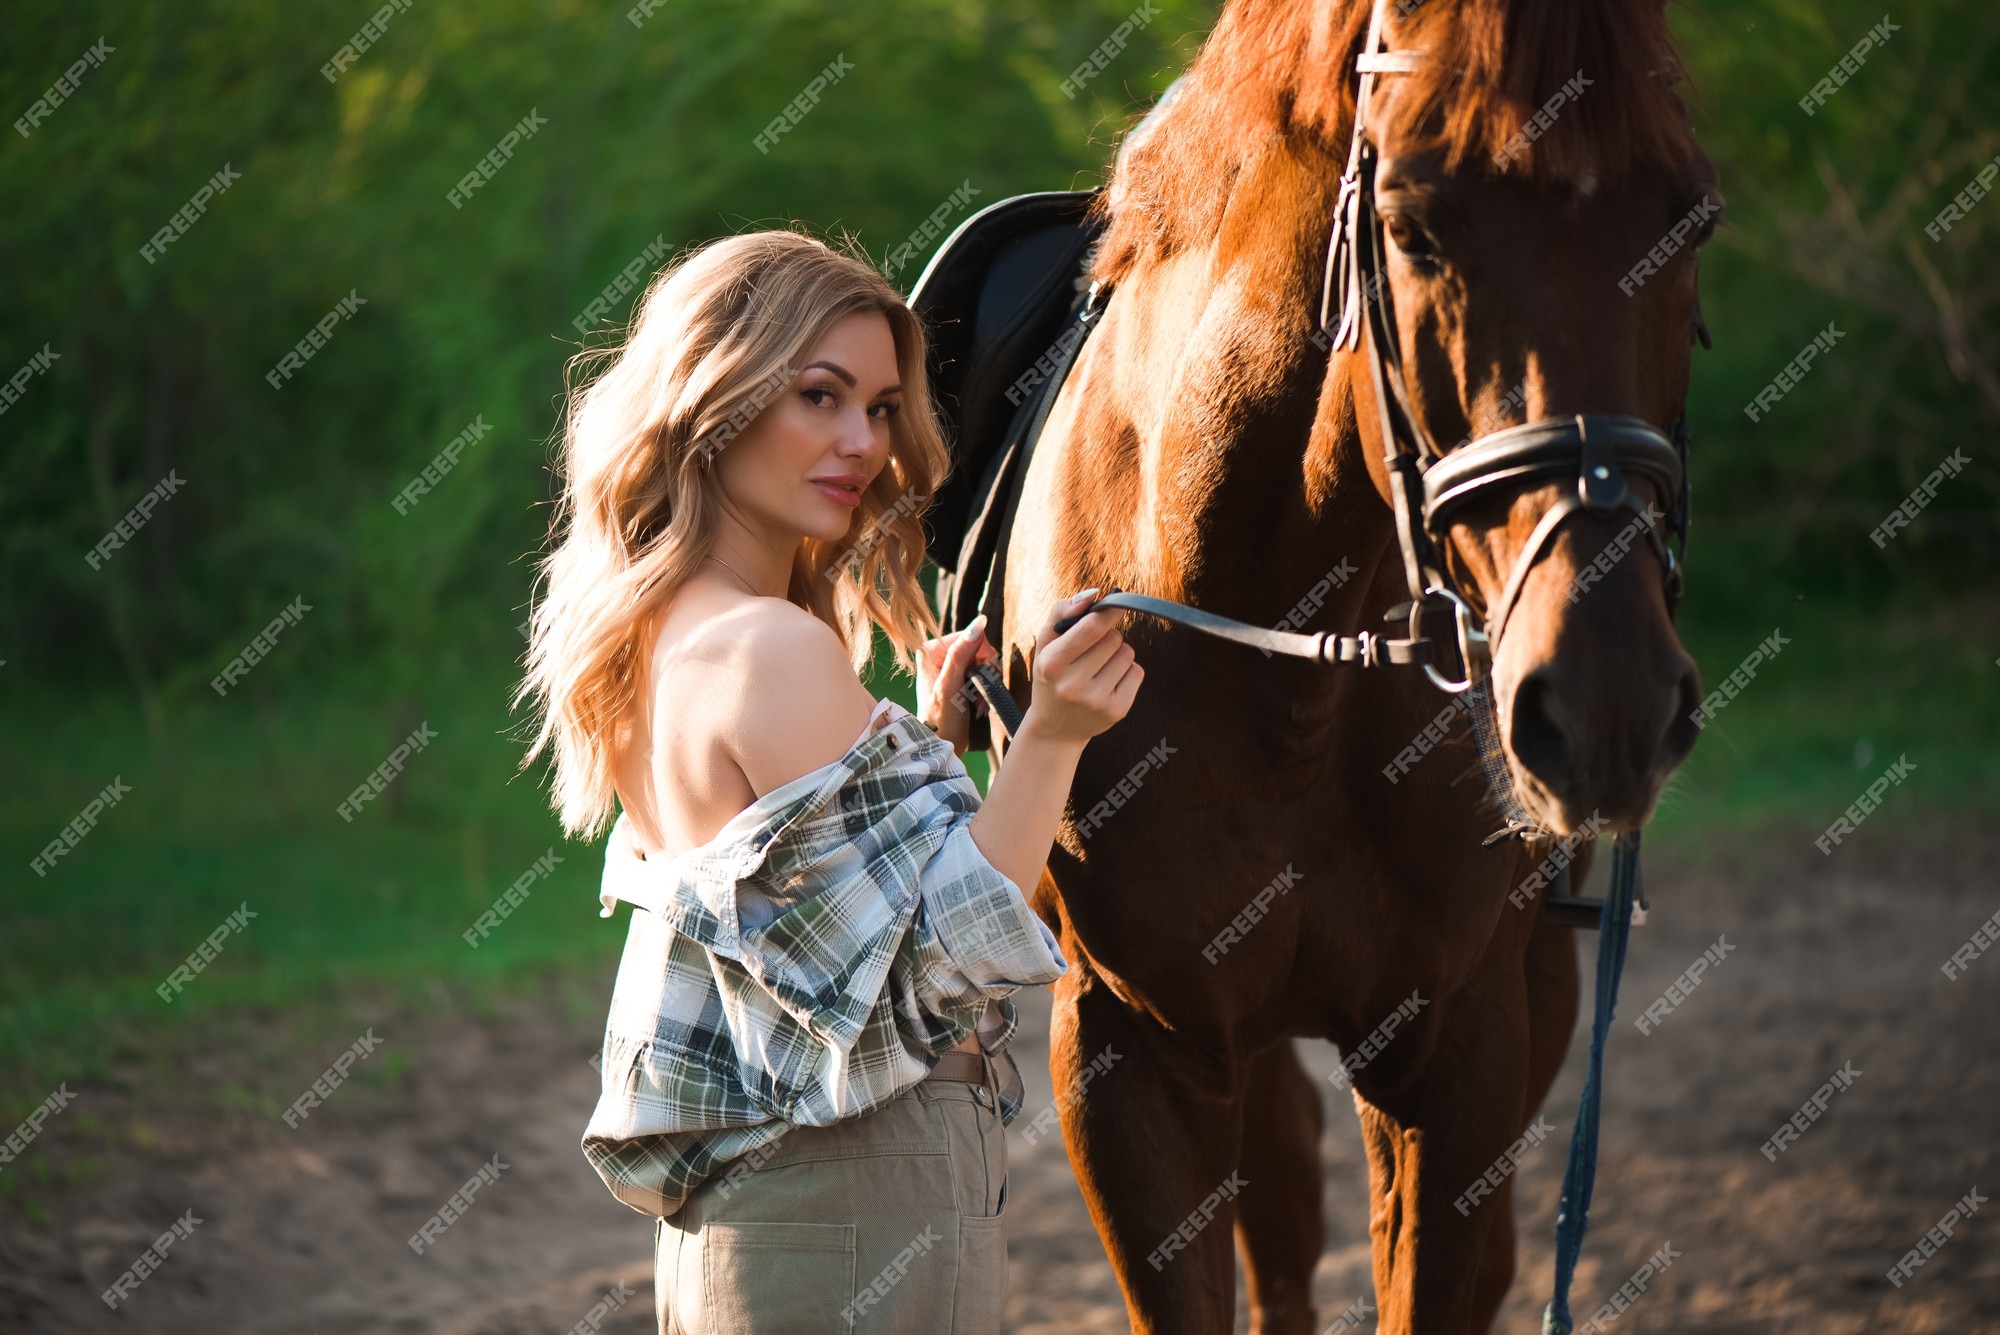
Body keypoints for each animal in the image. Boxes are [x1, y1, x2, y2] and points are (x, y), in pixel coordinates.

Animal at [992, 2, 1712, 1335]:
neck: (1281, 676)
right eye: (1412, 228)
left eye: (1688, 223)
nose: (1606, 708)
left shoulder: (1456, 1040)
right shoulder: (1128, 1051)